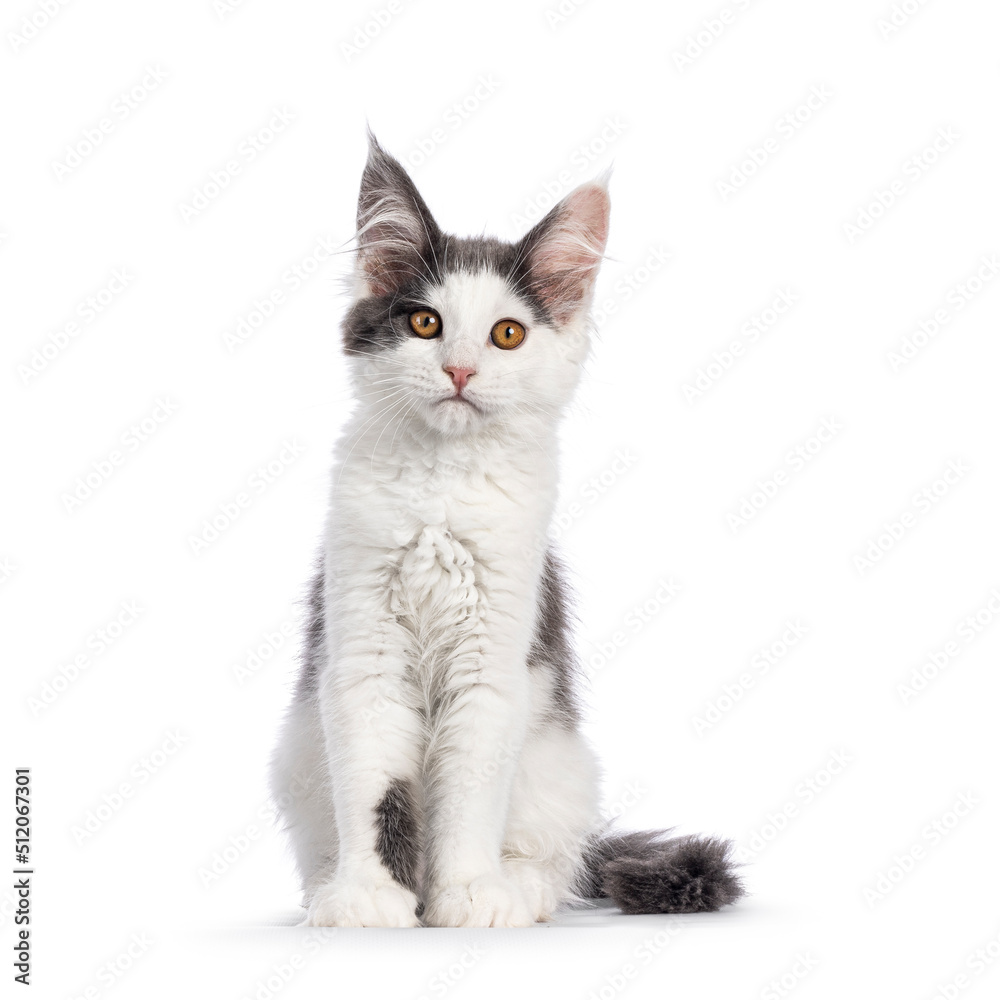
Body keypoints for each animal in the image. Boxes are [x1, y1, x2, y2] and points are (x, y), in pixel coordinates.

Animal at [266, 133, 744, 928]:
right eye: (425, 323)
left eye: (507, 335)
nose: (460, 370)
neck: (442, 488)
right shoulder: (362, 655)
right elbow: (375, 792)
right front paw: (371, 896)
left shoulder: (493, 667)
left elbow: (467, 797)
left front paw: (466, 894)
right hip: (299, 755)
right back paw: (330, 888)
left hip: (559, 760)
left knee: (554, 857)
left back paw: (519, 889)